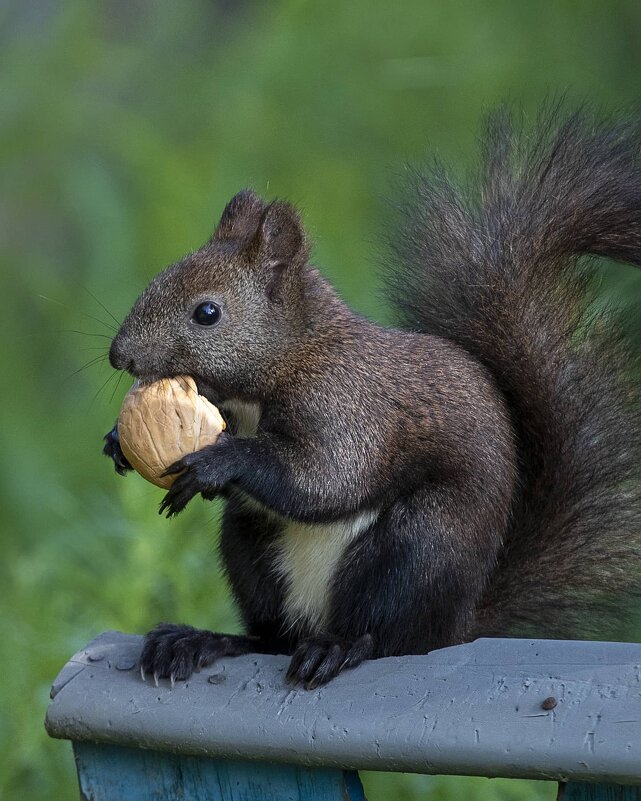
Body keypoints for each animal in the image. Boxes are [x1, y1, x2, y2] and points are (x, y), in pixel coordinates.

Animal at [102, 106, 640, 688]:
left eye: (207, 312)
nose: (118, 356)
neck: (288, 360)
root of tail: (455, 627)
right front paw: (116, 443)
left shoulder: (349, 404)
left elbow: (325, 477)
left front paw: (218, 462)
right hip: (250, 549)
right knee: (271, 638)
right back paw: (199, 641)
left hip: (415, 551)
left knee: (384, 638)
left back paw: (336, 649)